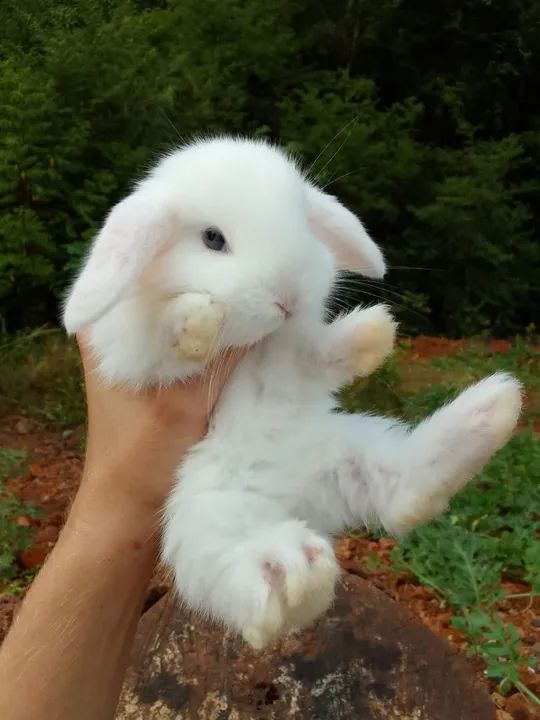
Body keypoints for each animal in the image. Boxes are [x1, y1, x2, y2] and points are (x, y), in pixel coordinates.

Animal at [63, 136, 522, 649]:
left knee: (405, 494)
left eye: (303, 222)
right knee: (243, 580)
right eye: (212, 239)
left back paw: (495, 406)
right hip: (204, 518)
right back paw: (289, 577)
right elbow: (164, 334)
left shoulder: (288, 349)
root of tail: (293, 493)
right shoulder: (128, 351)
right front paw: (198, 321)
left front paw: (374, 334)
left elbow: (309, 354)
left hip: (350, 452)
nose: (288, 296)